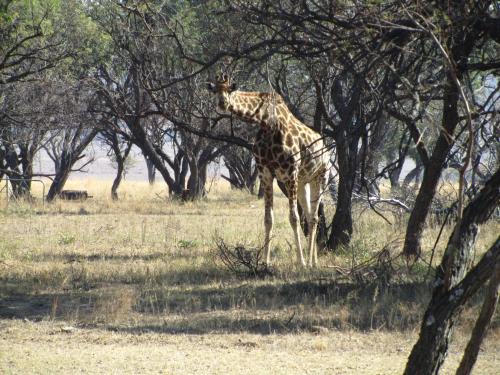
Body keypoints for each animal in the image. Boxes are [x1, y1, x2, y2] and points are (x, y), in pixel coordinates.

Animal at [208, 73, 330, 268]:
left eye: (229, 89)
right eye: (215, 91)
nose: (222, 103)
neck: (266, 123)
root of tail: (325, 147)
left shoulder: (290, 173)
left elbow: (294, 218)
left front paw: (301, 262)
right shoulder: (265, 173)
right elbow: (268, 219)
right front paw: (265, 262)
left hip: (320, 176)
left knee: (314, 217)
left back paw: (311, 262)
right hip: (303, 182)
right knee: (310, 214)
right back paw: (314, 259)